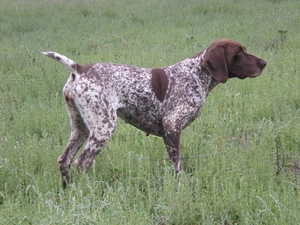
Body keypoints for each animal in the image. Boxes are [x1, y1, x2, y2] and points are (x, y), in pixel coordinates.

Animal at [41, 39, 264, 186]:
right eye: (239, 53)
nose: (264, 63)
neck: (196, 74)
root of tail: (79, 69)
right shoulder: (173, 124)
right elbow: (177, 163)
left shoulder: (167, 132)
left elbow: (173, 162)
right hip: (104, 127)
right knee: (82, 163)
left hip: (81, 129)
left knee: (64, 160)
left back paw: (70, 190)